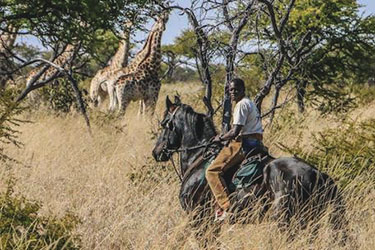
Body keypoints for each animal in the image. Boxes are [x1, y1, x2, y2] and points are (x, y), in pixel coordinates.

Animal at [152, 96, 346, 233]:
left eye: (164, 124)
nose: (156, 152)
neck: (199, 156)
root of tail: (318, 173)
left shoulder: (199, 219)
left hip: (287, 219)